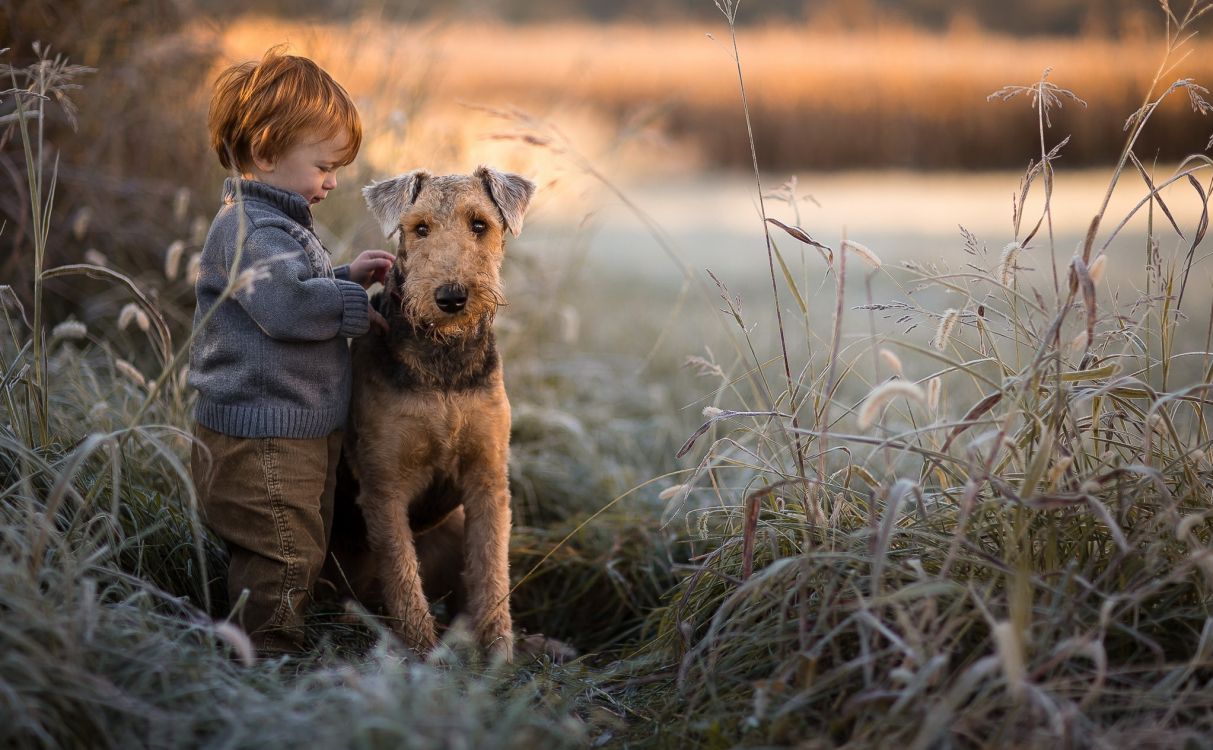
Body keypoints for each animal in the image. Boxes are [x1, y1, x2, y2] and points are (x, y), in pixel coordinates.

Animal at [332, 165, 540, 655]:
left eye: (479, 224)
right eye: (420, 228)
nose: (450, 297)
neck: (444, 361)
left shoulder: (487, 479)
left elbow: (491, 574)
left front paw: (500, 654)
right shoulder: (384, 487)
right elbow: (404, 581)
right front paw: (422, 657)